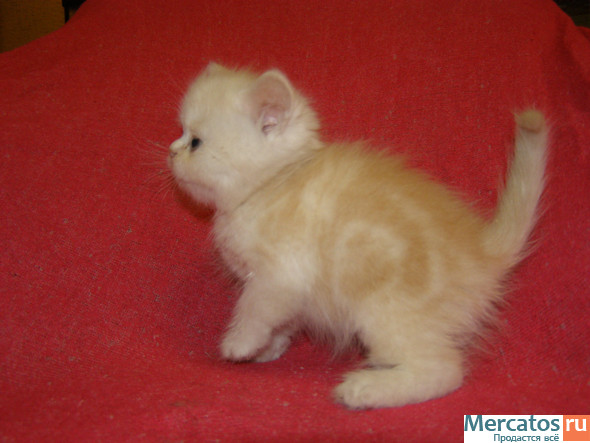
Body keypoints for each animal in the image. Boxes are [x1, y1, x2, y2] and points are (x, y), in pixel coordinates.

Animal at [168, 63, 548, 409]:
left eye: (196, 142)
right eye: (181, 131)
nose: (172, 151)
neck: (272, 185)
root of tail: (484, 250)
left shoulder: (279, 276)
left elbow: (253, 310)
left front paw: (239, 344)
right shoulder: (288, 291)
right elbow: (281, 320)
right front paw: (269, 348)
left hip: (384, 312)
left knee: (445, 370)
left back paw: (367, 389)